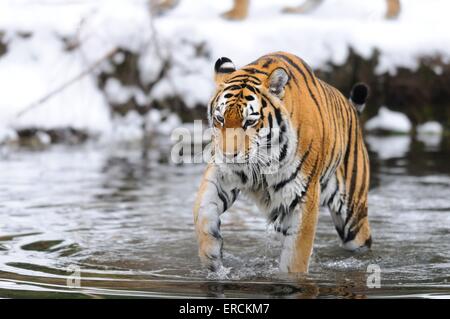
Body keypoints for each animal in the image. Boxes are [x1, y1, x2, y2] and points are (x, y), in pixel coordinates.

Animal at [193, 52, 372, 272]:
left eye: (250, 121)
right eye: (220, 119)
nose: (228, 155)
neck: (262, 161)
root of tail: (350, 107)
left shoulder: (304, 197)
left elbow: (295, 258)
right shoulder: (221, 174)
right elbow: (202, 210)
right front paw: (211, 257)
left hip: (353, 215)